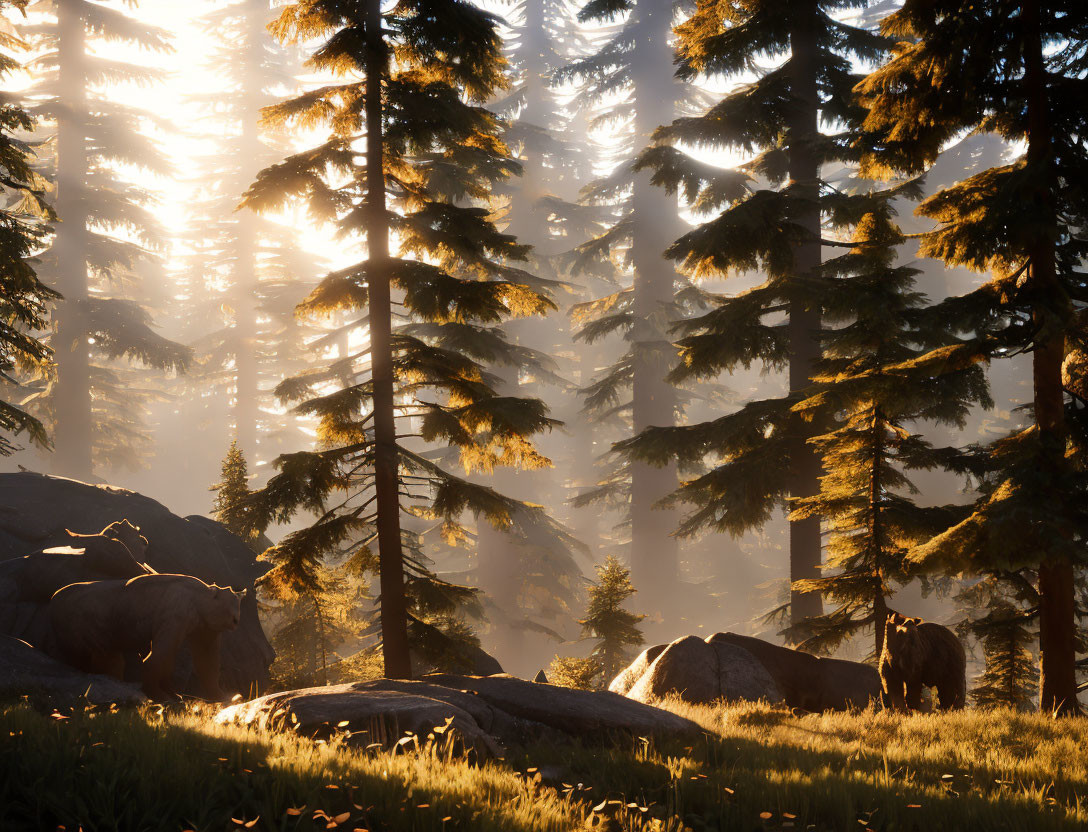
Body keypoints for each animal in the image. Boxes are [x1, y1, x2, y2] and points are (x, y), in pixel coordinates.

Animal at [48, 569, 242, 700]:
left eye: (238, 605)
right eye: (231, 607)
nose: (236, 621)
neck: (197, 597)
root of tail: (54, 599)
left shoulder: (204, 625)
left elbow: (206, 658)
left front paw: (222, 695)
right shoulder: (176, 612)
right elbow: (161, 653)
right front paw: (159, 694)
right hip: (88, 620)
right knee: (100, 656)